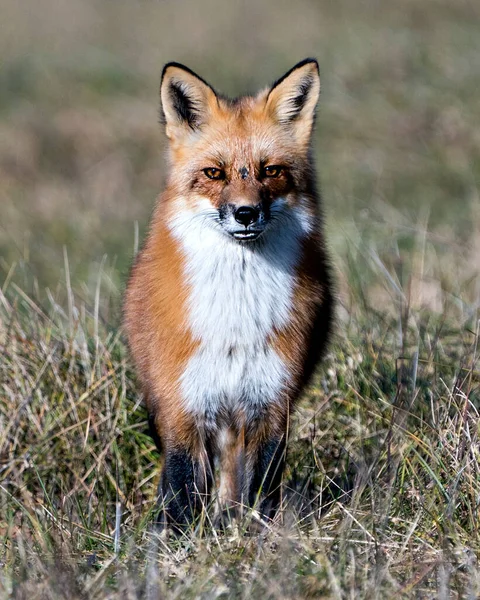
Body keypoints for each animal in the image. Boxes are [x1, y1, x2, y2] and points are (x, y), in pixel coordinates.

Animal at [124, 58, 332, 528]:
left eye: (270, 170)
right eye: (214, 173)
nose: (245, 213)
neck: (236, 323)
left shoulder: (270, 404)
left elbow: (261, 491)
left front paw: (254, 535)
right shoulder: (183, 404)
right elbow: (181, 491)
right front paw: (174, 542)